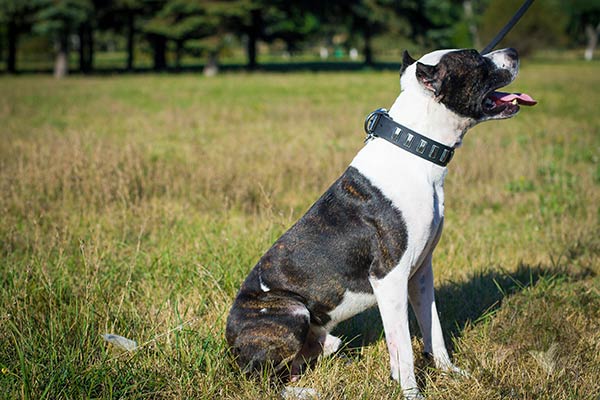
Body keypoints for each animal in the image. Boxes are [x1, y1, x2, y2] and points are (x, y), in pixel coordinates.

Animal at [225, 47, 536, 396]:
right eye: (475, 57)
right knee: (262, 379)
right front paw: (412, 394)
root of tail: (230, 345)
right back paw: (304, 392)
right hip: (292, 311)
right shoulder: (389, 277)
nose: (513, 51)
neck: (416, 150)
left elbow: (434, 330)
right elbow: (403, 350)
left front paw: (450, 372)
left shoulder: (421, 273)